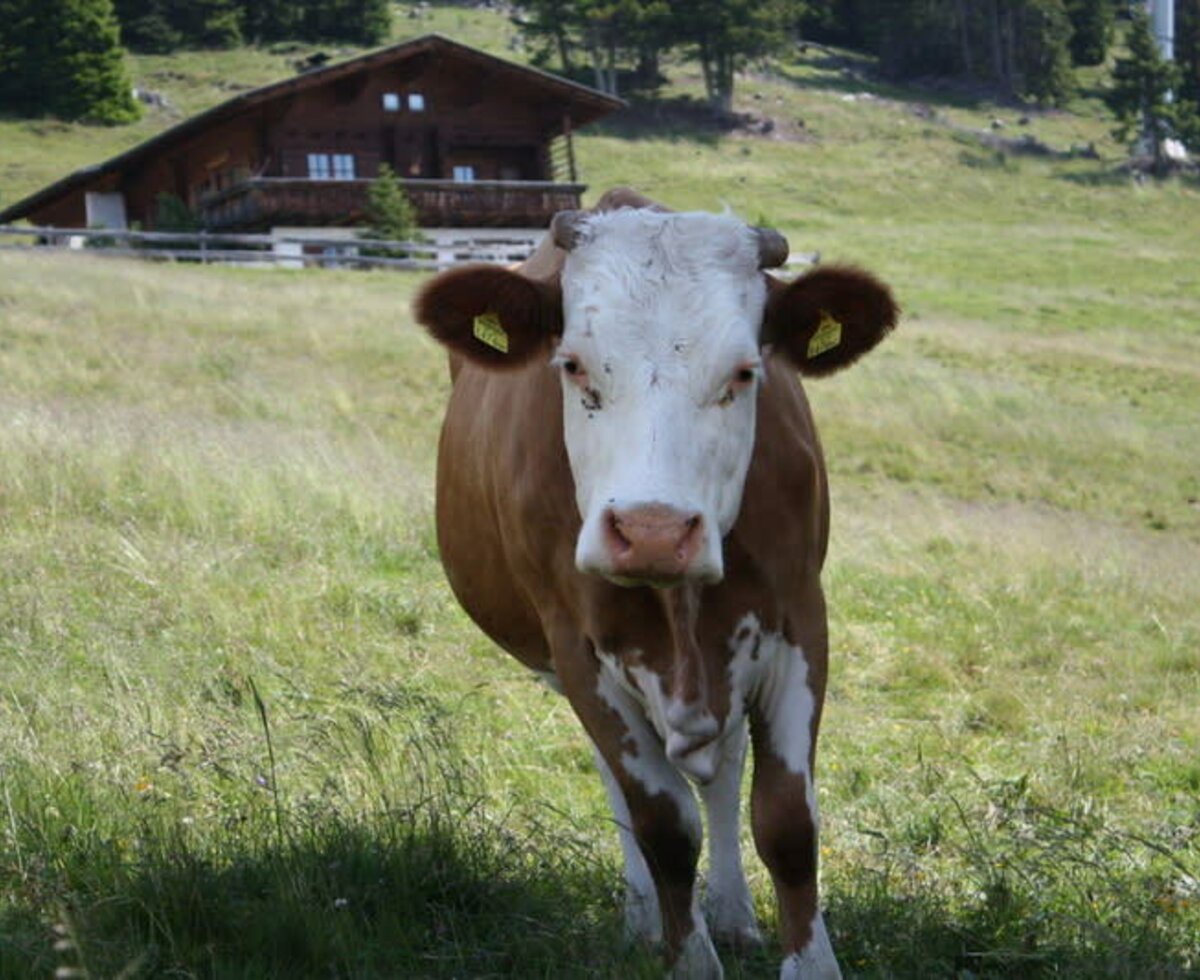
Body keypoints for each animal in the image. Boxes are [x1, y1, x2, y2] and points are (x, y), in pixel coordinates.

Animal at [412, 187, 892, 974]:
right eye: (574, 366)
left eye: (745, 371)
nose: (654, 532)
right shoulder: (578, 652)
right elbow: (663, 825)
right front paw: (683, 951)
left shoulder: (799, 624)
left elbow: (787, 824)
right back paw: (645, 917)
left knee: (724, 769)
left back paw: (732, 913)